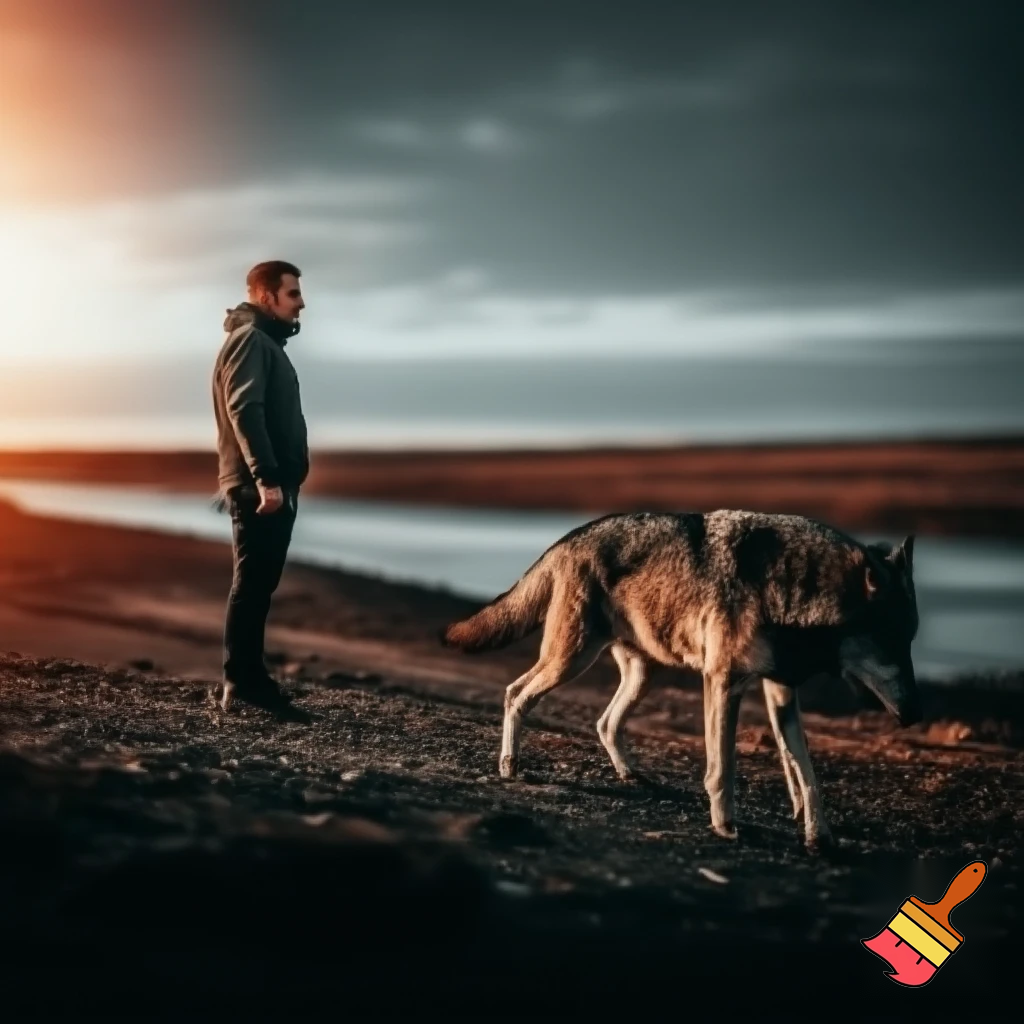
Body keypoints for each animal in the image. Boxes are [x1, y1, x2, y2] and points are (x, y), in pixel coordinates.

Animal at [440, 510, 922, 848]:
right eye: (892, 642)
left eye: (910, 641)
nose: (915, 714)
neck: (791, 590)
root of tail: (570, 537)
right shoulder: (723, 682)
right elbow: (723, 768)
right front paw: (725, 826)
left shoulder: (780, 690)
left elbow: (804, 771)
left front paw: (817, 835)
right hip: (569, 661)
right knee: (515, 693)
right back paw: (510, 765)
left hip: (640, 675)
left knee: (604, 722)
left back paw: (628, 773)